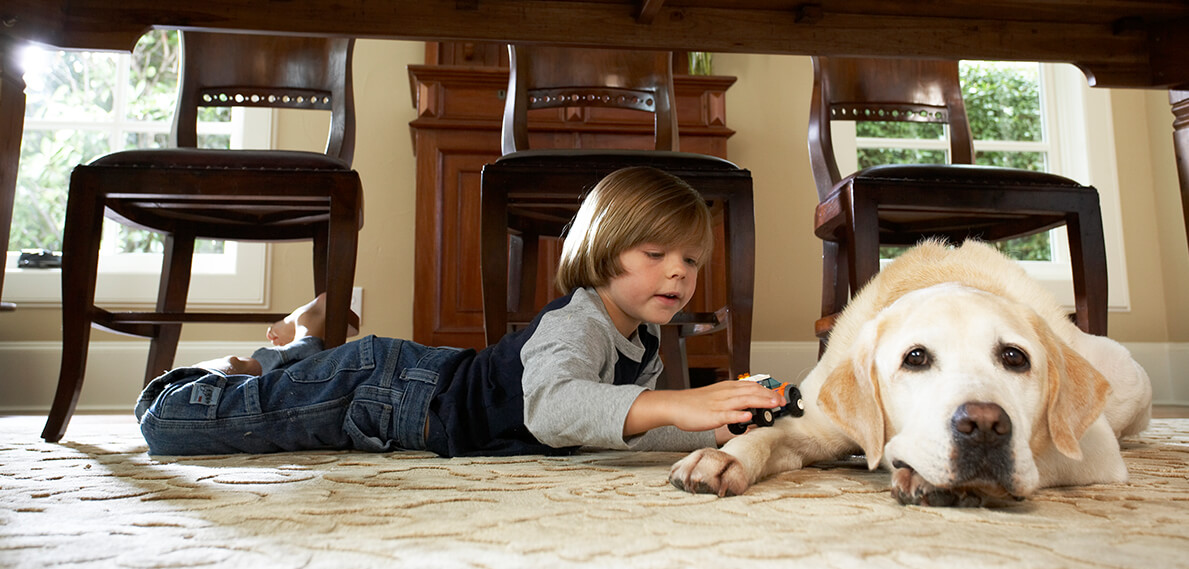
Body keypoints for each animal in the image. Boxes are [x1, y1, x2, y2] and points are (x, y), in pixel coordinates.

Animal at [670, 239, 1150, 508]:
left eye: (1015, 357)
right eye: (915, 357)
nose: (984, 427)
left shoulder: (1094, 449)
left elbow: (1035, 460)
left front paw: (930, 477)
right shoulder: (813, 425)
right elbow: (765, 436)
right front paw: (723, 457)